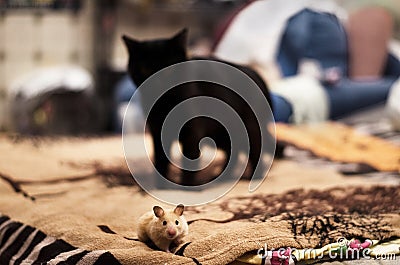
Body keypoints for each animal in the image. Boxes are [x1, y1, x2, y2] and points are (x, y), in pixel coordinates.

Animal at [122, 29, 274, 186]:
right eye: (144, 69)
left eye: (168, 70)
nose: (156, 83)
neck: (164, 102)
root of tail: (256, 74)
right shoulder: (157, 130)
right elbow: (161, 159)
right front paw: (161, 186)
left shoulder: (192, 130)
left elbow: (189, 159)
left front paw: (187, 187)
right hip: (221, 134)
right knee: (235, 152)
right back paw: (222, 178)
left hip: (248, 128)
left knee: (256, 150)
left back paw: (255, 178)